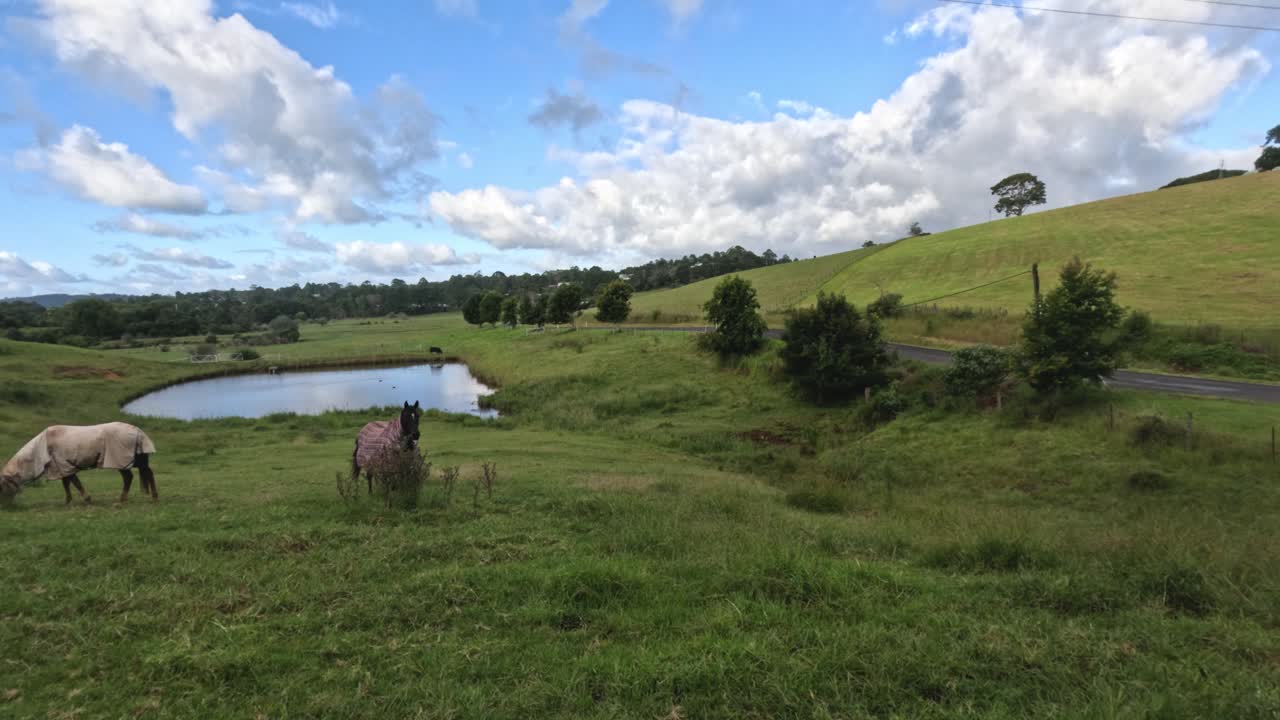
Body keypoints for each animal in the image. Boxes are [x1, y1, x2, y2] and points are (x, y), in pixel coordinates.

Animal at [1, 422, 158, 504]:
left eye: (1, 486)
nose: (6, 507)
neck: (41, 448)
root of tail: (138, 431)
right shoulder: (62, 467)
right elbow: (67, 483)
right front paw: (68, 500)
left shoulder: (64, 465)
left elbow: (75, 483)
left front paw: (86, 499)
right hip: (134, 459)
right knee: (145, 473)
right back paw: (149, 496)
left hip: (123, 459)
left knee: (132, 476)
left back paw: (130, 498)